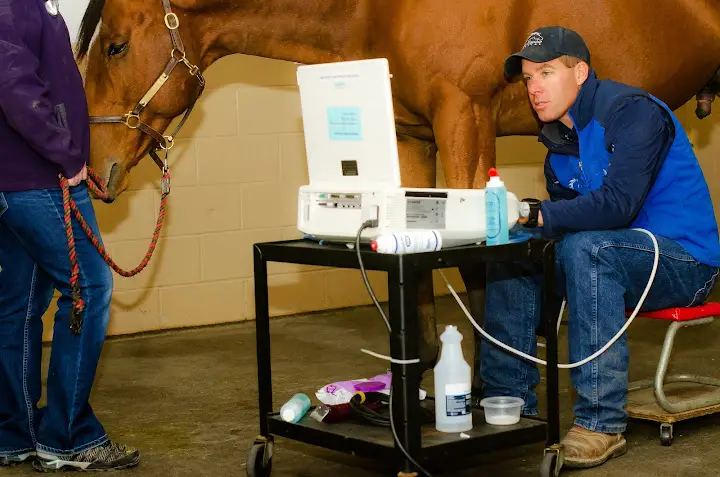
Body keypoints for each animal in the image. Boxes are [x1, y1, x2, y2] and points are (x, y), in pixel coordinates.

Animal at [76, 0, 720, 372]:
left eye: (115, 45)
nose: (93, 171)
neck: (379, 7)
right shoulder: (412, 136)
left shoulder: (465, 120)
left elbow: (478, 267)